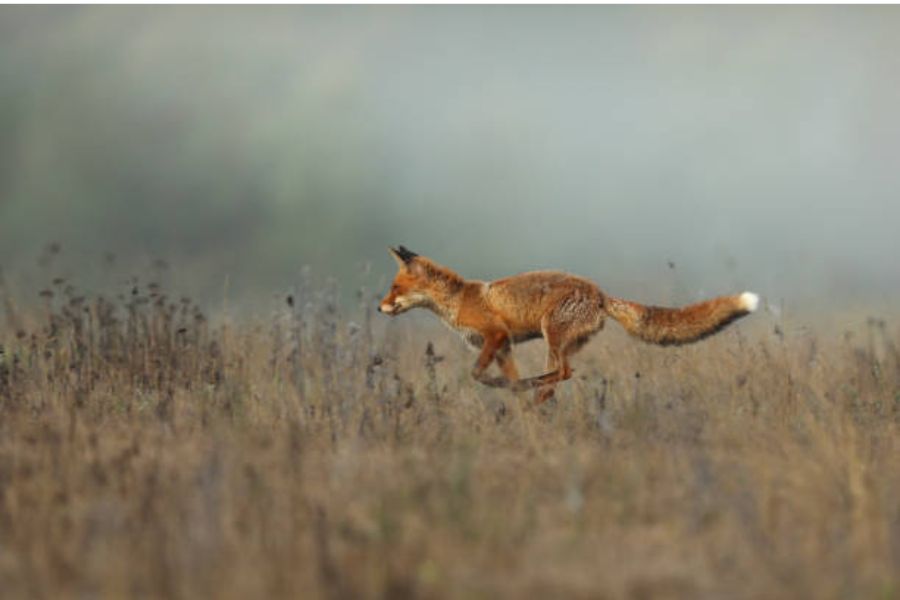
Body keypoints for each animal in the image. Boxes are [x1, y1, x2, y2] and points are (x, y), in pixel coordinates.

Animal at [376, 244, 756, 404]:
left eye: (394, 288)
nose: (379, 307)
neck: (458, 300)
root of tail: (601, 294)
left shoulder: (496, 335)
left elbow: (477, 374)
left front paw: (503, 387)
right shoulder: (504, 347)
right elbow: (500, 375)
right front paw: (515, 397)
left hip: (552, 334)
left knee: (564, 372)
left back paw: (535, 388)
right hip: (556, 342)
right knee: (556, 377)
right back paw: (536, 396)